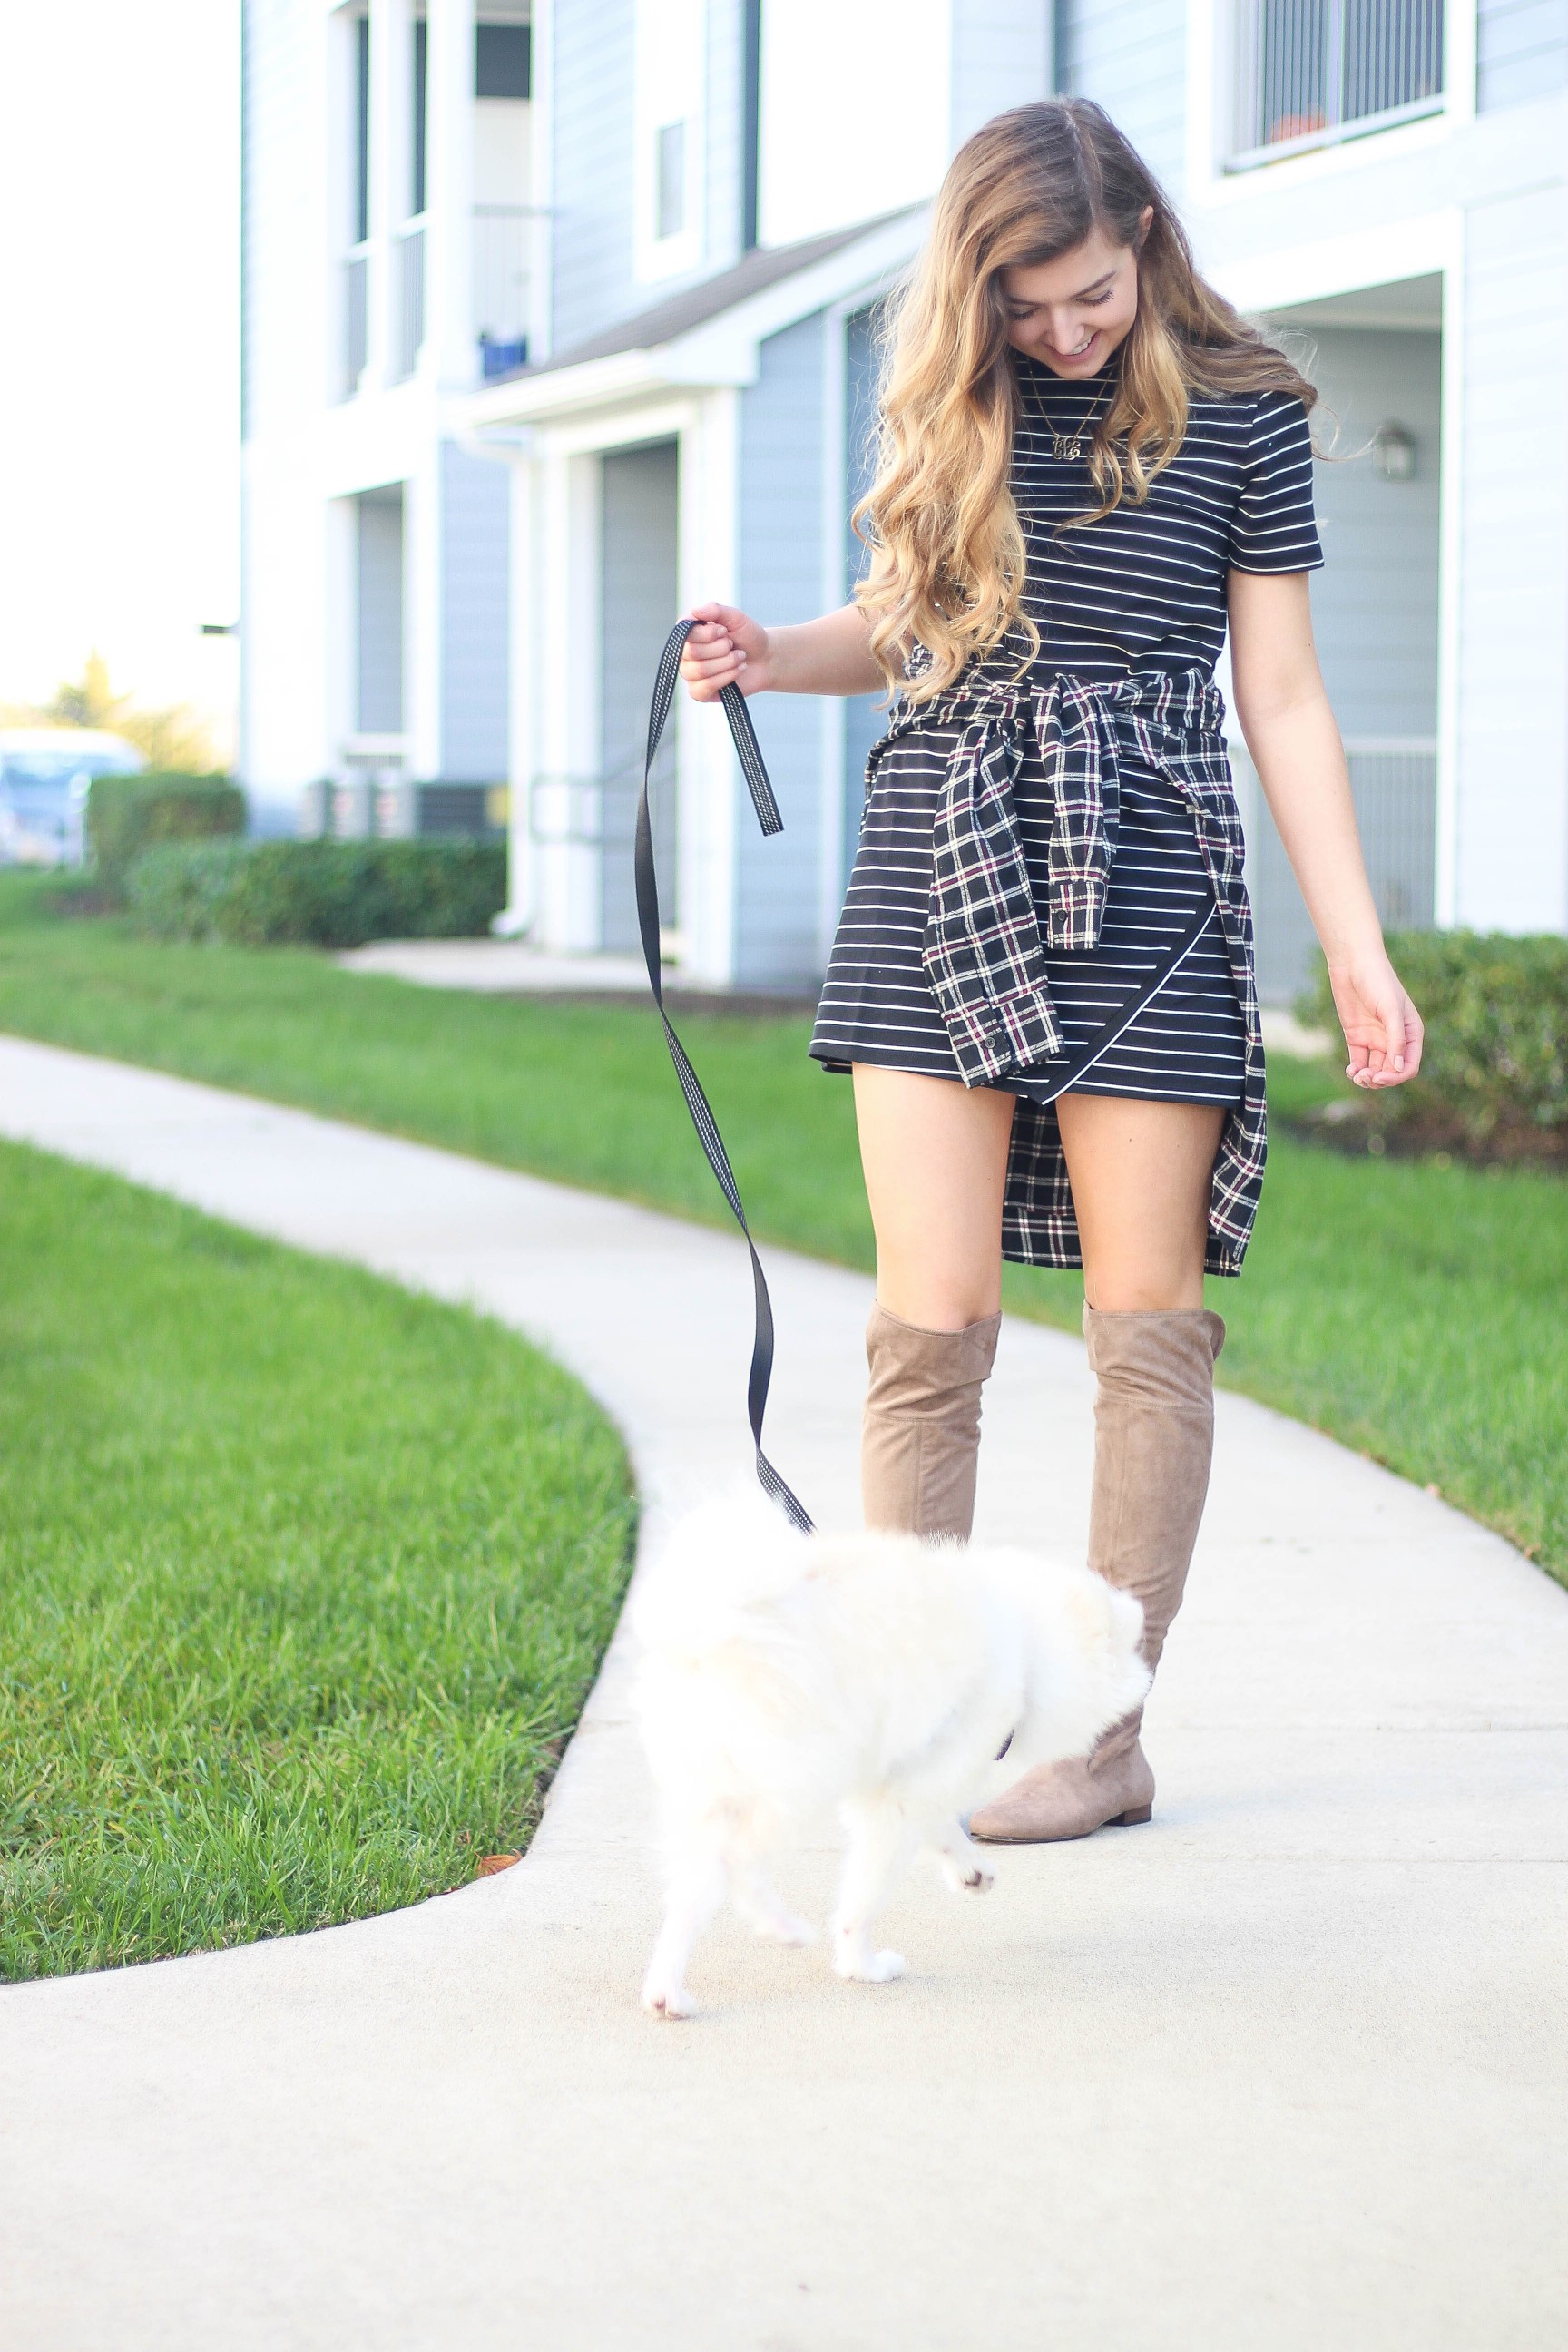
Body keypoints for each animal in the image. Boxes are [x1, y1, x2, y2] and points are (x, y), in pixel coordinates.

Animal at [630, 1486, 1152, 2023]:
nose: (1145, 1681)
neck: (1026, 1645)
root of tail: (710, 1630)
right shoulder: (903, 1793)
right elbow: (863, 1899)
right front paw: (862, 1965)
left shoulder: (902, 1779)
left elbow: (941, 1829)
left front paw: (970, 1870)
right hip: (797, 1777)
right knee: (737, 1856)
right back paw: (781, 1927)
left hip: (710, 1789)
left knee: (693, 1891)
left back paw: (667, 1993)